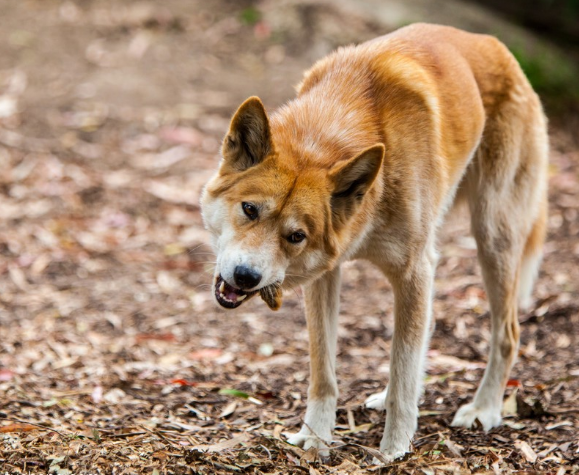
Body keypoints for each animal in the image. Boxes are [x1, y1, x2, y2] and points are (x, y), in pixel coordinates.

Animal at [202, 23, 552, 462]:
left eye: (296, 236)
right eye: (249, 209)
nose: (246, 276)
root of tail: (491, 43)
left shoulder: (414, 271)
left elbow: (403, 370)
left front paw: (395, 448)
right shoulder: (326, 277)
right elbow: (325, 371)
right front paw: (316, 437)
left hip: (492, 238)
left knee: (506, 333)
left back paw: (484, 408)